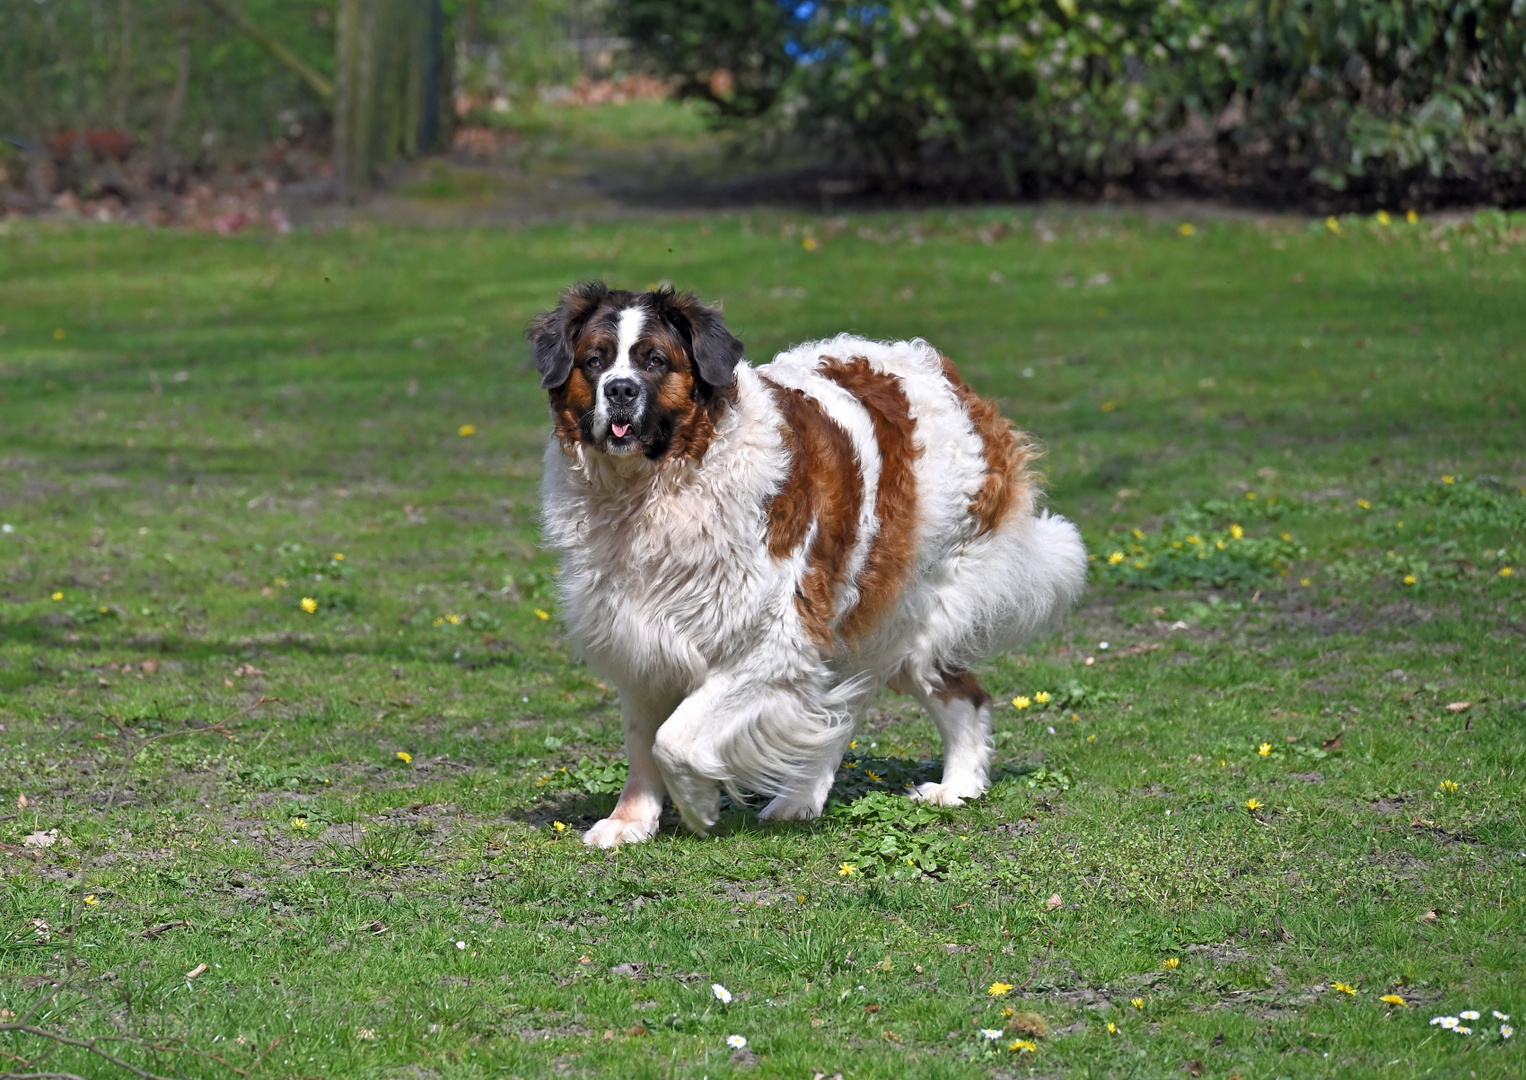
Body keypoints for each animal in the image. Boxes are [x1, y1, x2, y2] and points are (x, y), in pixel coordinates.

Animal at [531, 282, 1092, 848]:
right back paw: (817, 798)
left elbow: (675, 737)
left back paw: (951, 788)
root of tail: (955, 383)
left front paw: (697, 804)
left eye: (654, 361)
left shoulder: (778, 640)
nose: (620, 389)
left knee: (936, 696)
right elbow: (643, 741)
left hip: (908, 609)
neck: (654, 491)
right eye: (595, 361)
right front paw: (631, 820)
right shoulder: (638, 637)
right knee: (868, 706)